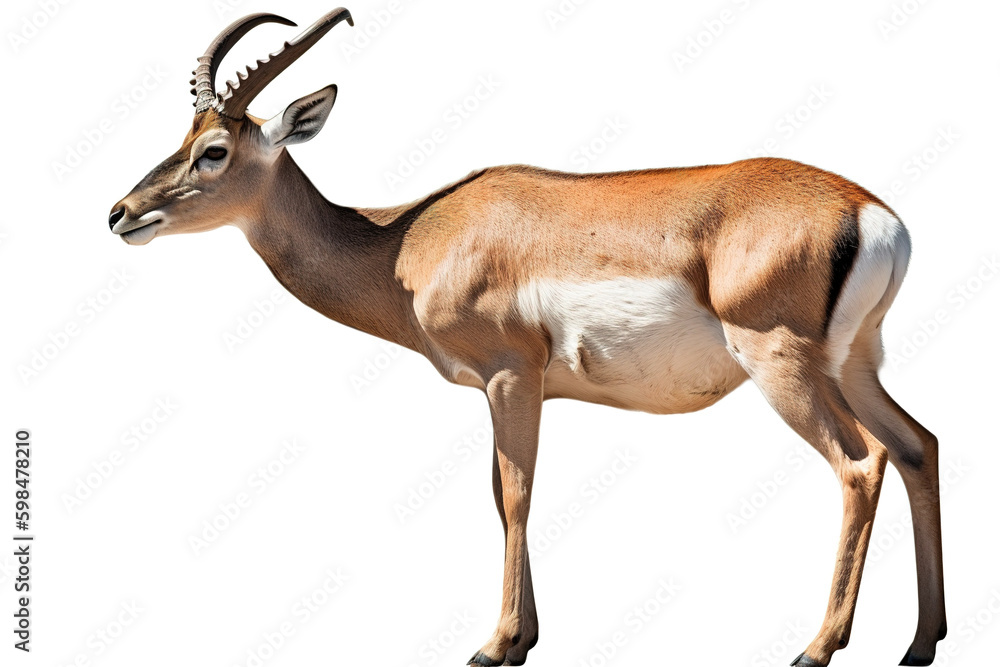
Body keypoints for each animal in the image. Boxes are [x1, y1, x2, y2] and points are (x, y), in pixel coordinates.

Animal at [108, 8, 946, 666]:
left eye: (213, 150)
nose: (121, 212)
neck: (405, 243)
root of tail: (868, 211)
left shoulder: (512, 373)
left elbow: (514, 493)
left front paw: (495, 643)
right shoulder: (517, 387)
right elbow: (500, 490)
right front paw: (523, 639)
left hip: (782, 366)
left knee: (861, 463)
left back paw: (816, 646)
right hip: (855, 365)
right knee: (917, 447)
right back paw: (919, 643)